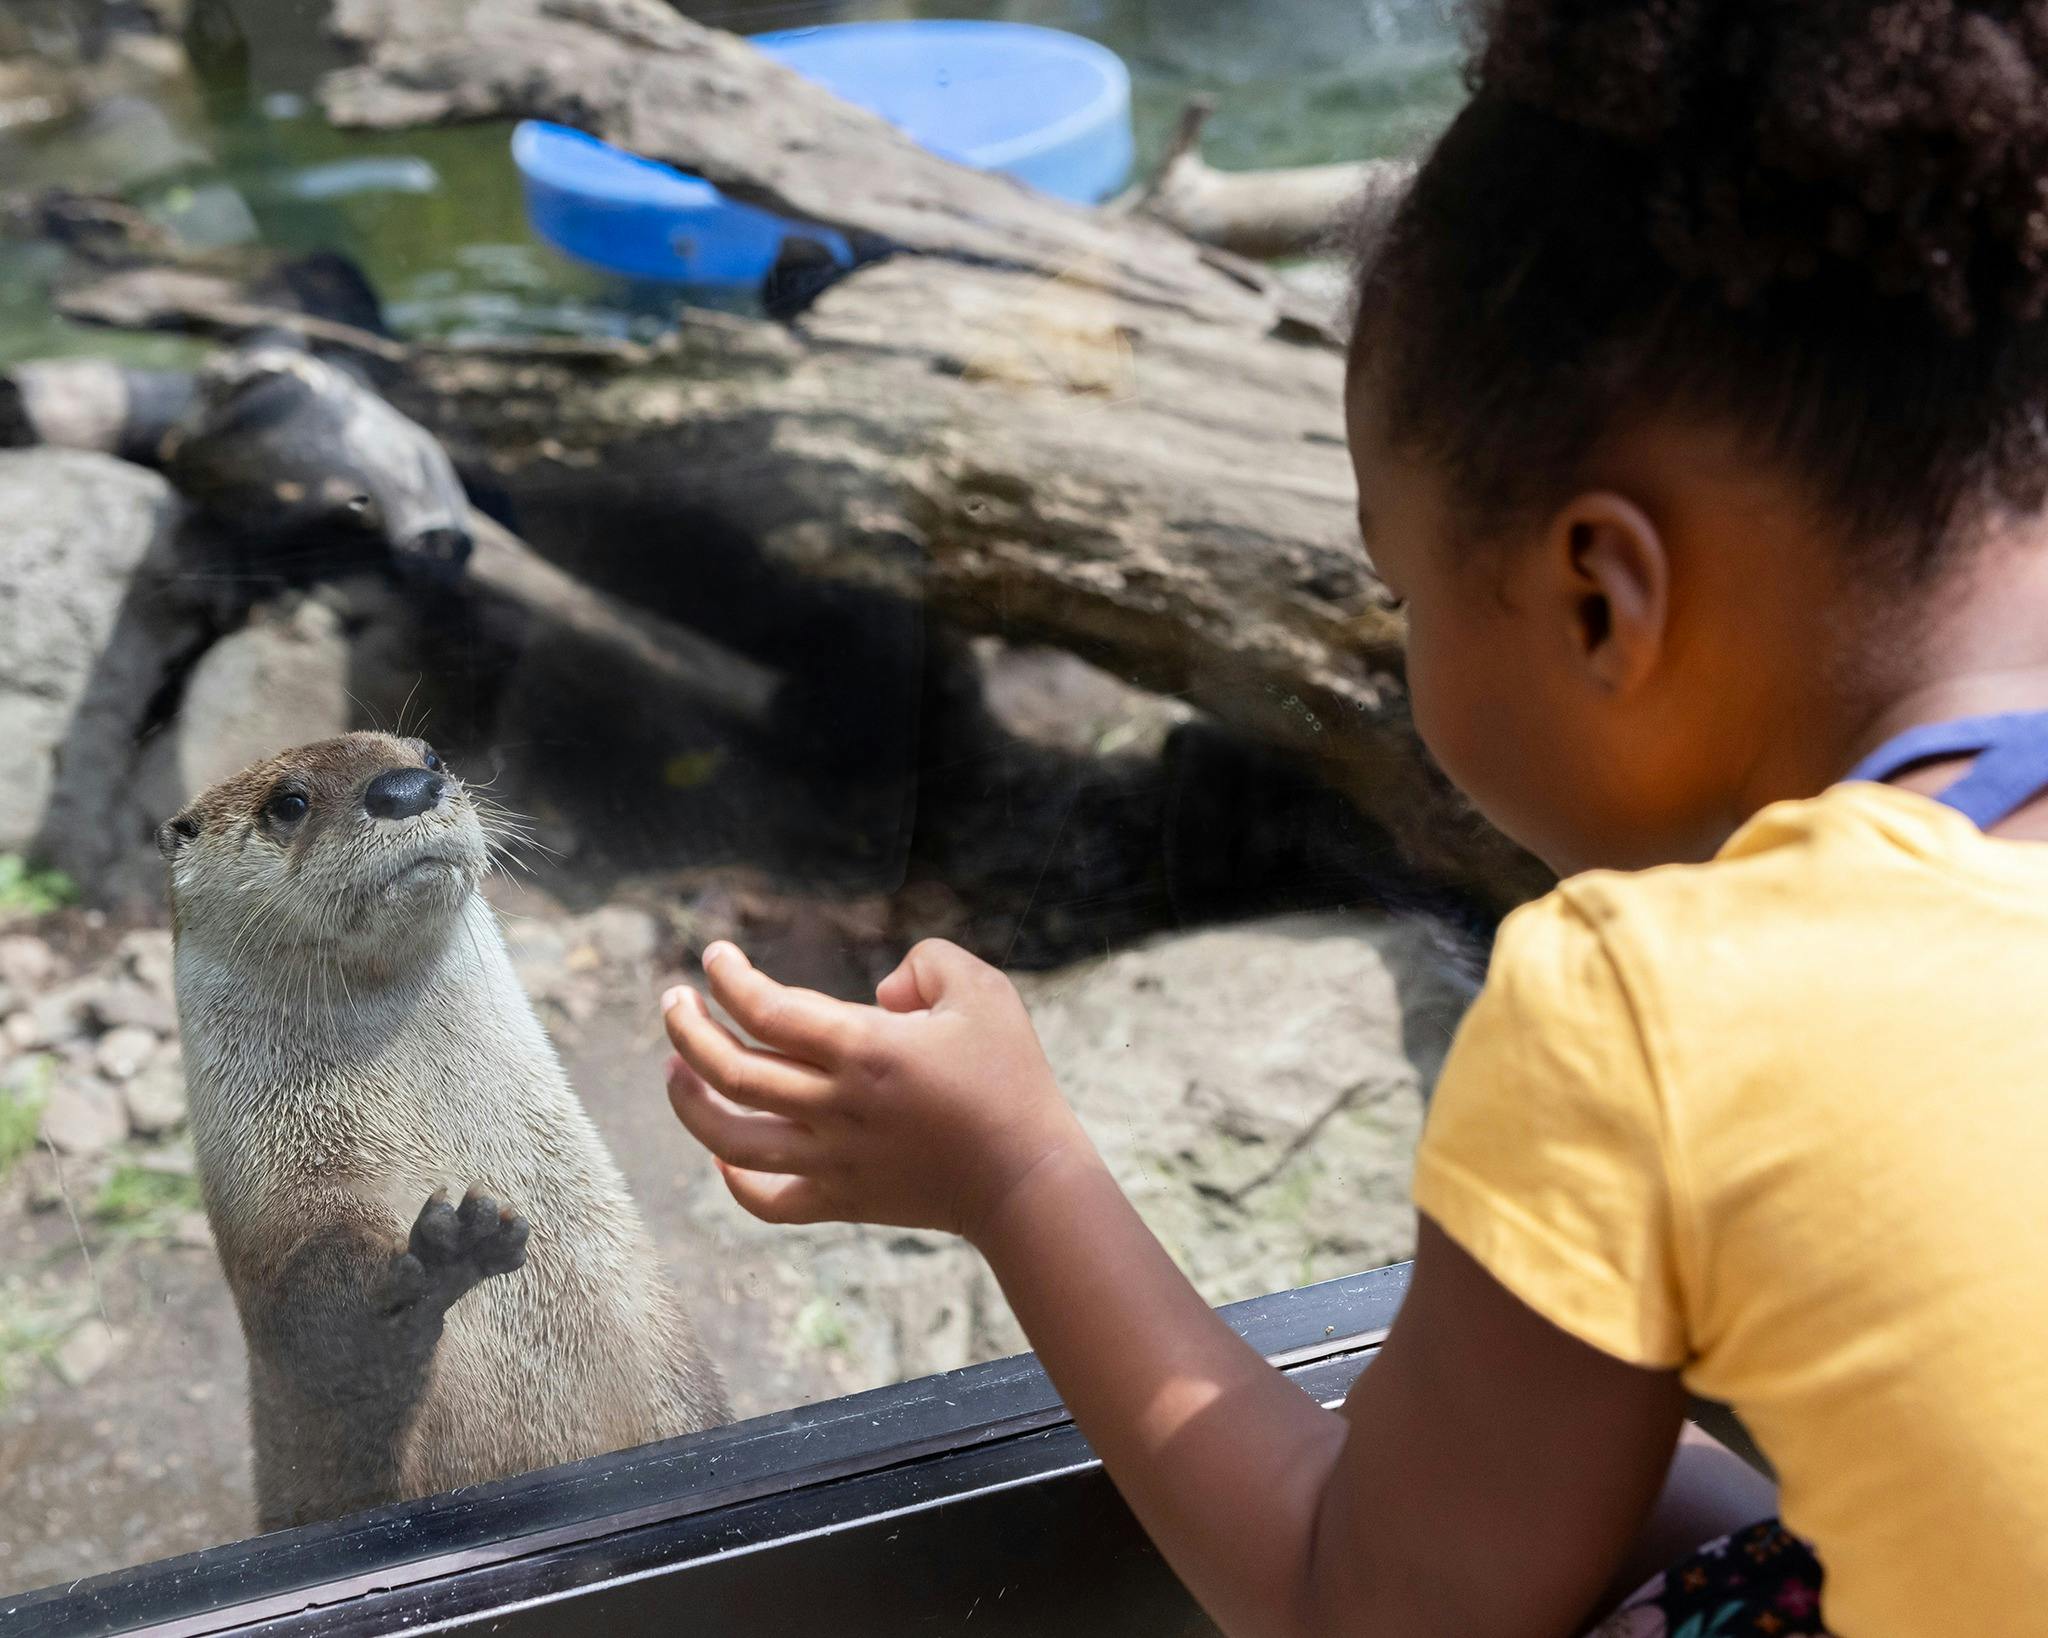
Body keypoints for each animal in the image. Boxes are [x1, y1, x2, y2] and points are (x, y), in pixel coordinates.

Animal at [160, 731, 726, 1531]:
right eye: (288, 803)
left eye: (428, 756)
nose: (404, 789)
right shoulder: (281, 1214)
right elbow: (321, 1338)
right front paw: (435, 1261)